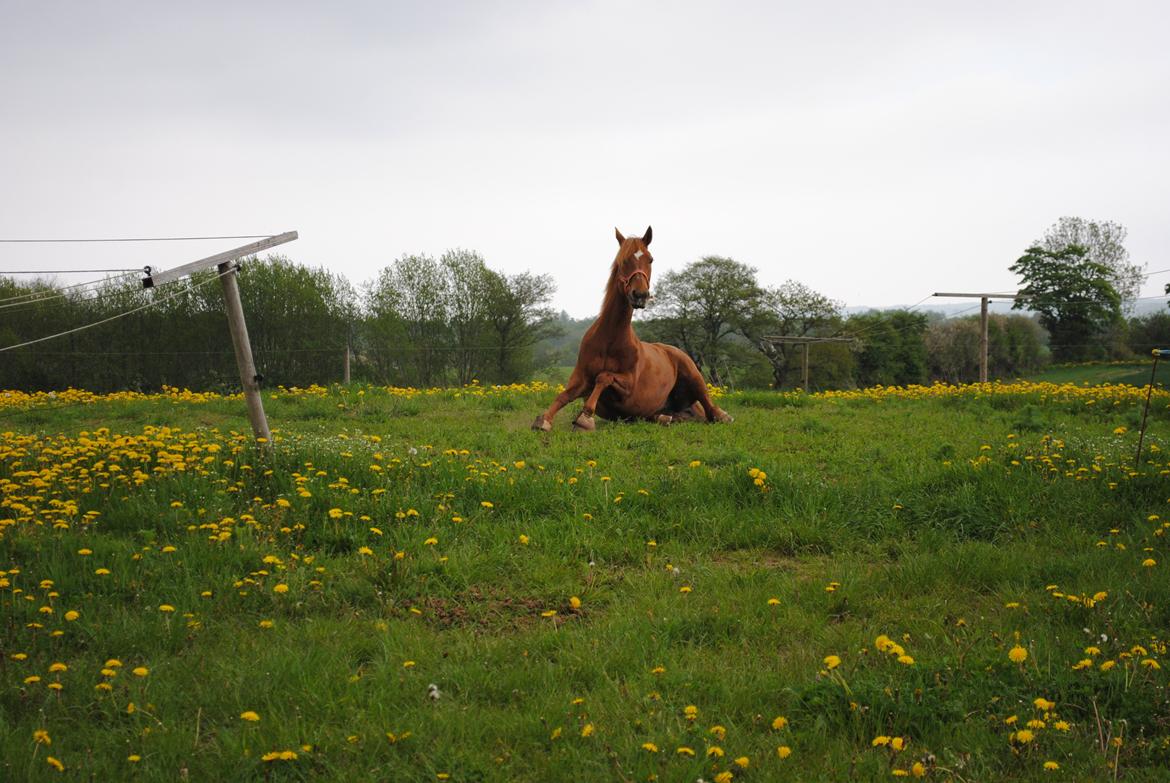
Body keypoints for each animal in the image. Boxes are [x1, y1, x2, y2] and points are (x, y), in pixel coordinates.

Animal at [533, 225, 730, 430]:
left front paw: (585, 418)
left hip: (694, 375)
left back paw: (722, 415)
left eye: (650, 259)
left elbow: (603, 377)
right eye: (624, 260)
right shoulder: (581, 380)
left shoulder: (628, 386)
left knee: (709, 407)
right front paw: (544, 420)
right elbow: (564, 396)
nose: (640, 295)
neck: (610, 338)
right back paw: (665, 418)